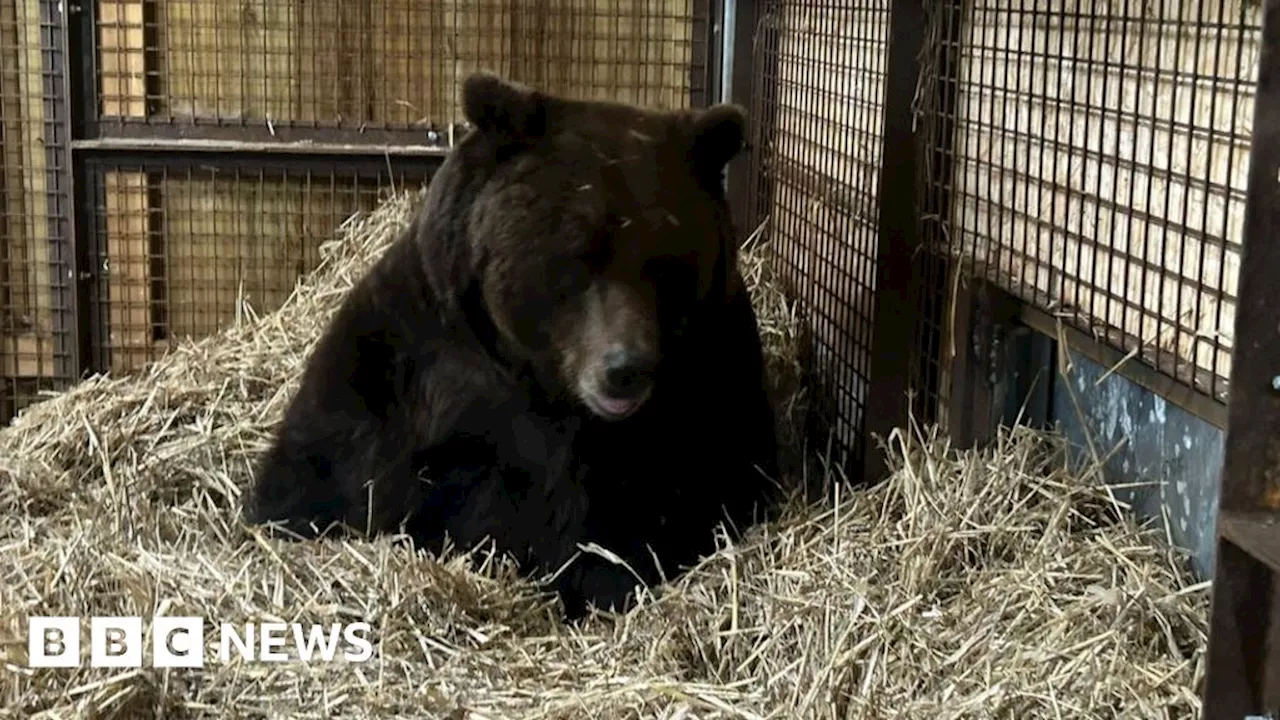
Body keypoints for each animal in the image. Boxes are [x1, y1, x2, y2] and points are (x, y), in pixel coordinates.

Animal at [240, 73, 778, 620]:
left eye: (666, 265)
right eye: (580, 255)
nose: (625, 369)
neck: (542, 385)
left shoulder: (711, 378)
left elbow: (676, 502)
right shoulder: (409, 352)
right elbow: (330, 471)